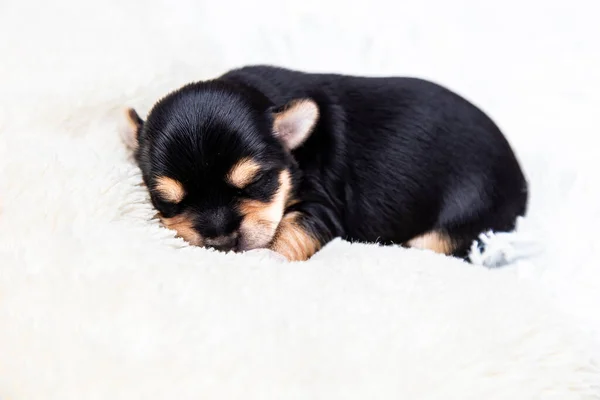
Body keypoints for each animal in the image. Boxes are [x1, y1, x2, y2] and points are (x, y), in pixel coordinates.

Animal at [124, 64, 528, 260]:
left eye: (256, 183)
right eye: (167, 201)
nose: (221, 240)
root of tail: (522, 181)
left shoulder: (322, 206)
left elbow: (289, 232)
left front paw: (266, 260)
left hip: (462, 223)